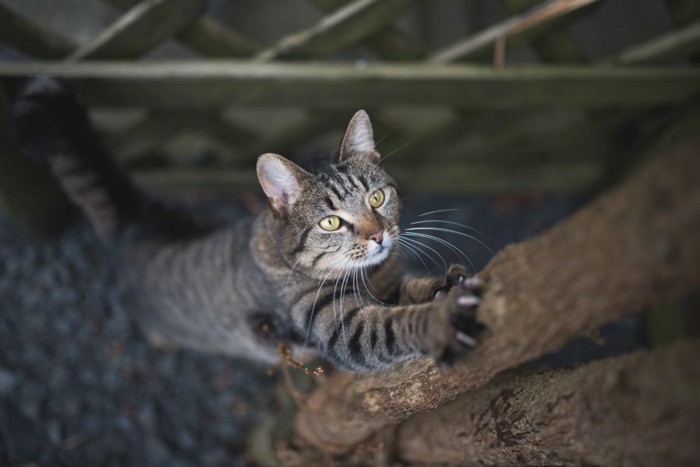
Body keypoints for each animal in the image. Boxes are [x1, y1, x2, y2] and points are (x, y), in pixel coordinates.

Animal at [10, 77, 484, 372]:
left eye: (377, 198)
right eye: (331, 222)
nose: (379, 234)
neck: (370, 275)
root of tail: (139, 217)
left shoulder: (389, 281)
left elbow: (412, 289)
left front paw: (444, 287)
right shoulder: (338, 325)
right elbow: (394, 326)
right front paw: (439, 319)